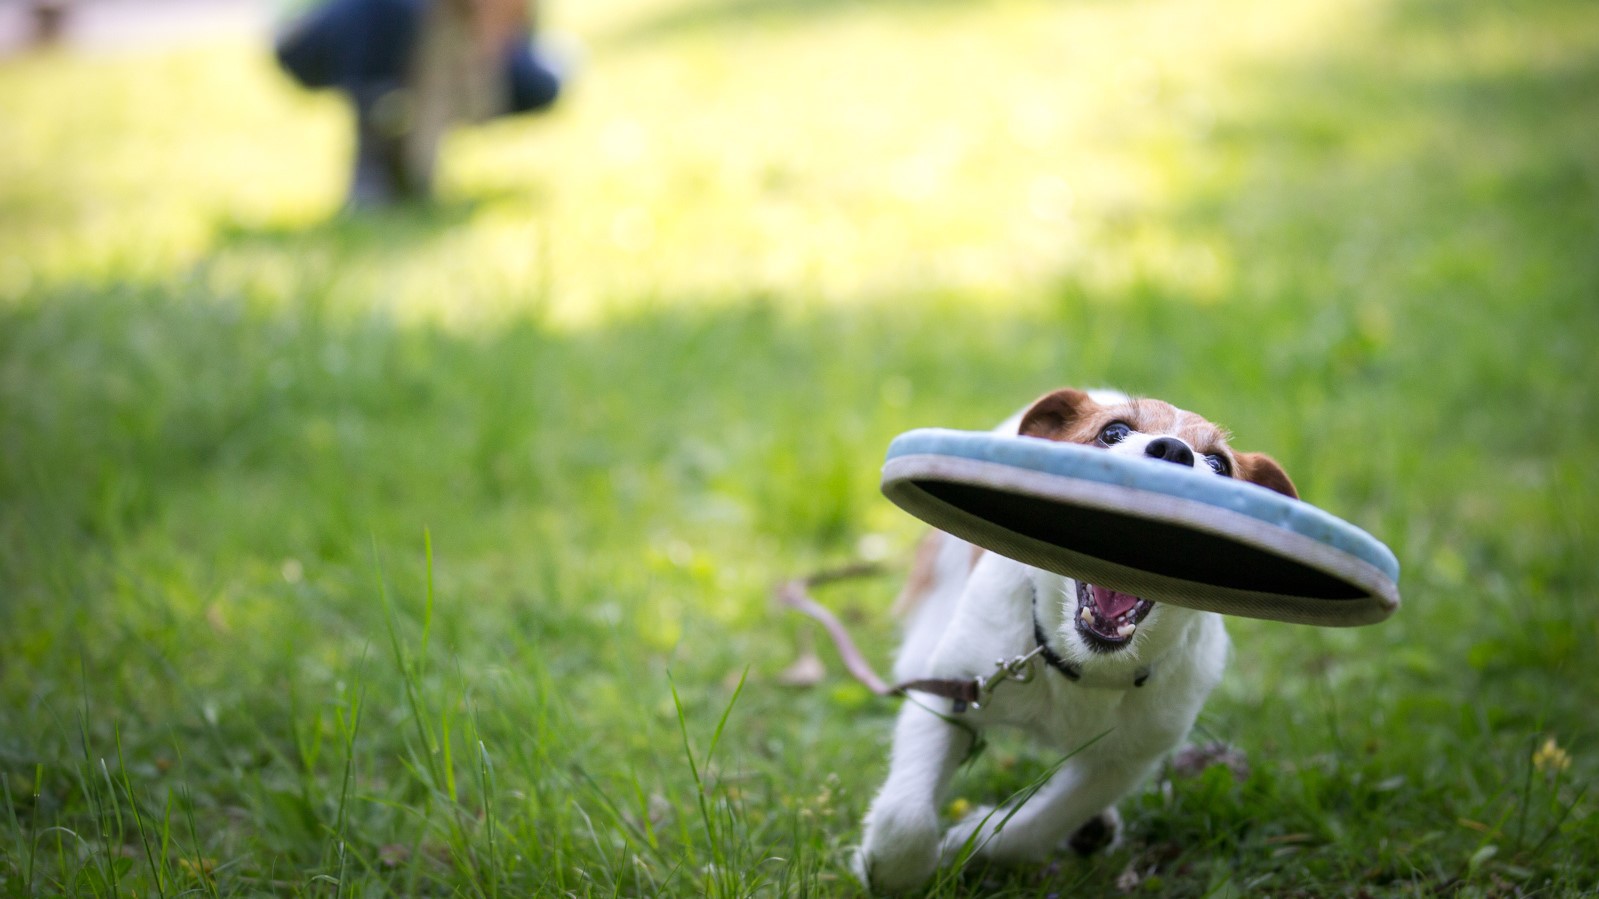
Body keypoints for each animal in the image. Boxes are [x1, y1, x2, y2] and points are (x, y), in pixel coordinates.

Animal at [857, 385, 1291, 889]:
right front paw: (891, 869)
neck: (1081, 665)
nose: (1173, 451)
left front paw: (967, 842)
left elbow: (1049, 816)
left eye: (1220, 464)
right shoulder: (953, 691)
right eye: (1114, 432)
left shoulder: (1128, 756)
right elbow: (905, 817)